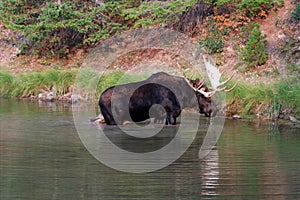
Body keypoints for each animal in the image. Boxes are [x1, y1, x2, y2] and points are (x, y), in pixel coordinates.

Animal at [98, 72, 234, 125]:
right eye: (204, 95)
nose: (213, 110)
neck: (183, 97)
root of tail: (99, 100)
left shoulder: (160, 117)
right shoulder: (171, 114)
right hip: (113, 120)